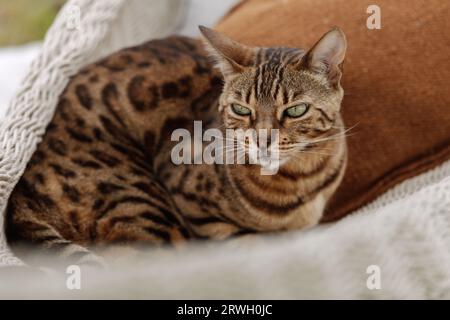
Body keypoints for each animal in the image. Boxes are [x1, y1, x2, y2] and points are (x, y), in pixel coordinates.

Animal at [6, 26, 348, 266]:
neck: (302, 179)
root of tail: (16, 202)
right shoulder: (186, 192)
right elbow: (245, 241)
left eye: (295, 110)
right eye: (241, 109)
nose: (262, 140)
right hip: (145, 206)